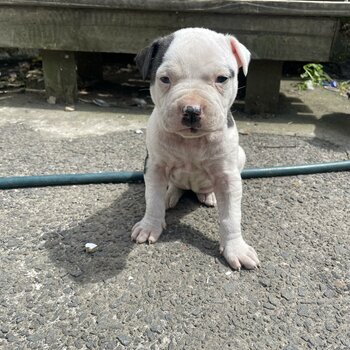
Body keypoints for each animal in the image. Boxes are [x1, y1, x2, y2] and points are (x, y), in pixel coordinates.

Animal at [131, 28, 260, 270]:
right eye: (165, 79)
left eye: (222, 79)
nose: (192, 109)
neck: (191, 141)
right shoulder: (154, 166)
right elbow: (152, 198)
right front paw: (149, 225)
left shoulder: (228, 176)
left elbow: (231, 217)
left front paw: (235, 249)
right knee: (175, 186)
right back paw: (170, 194)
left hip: (240, 156)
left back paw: (209, 196)